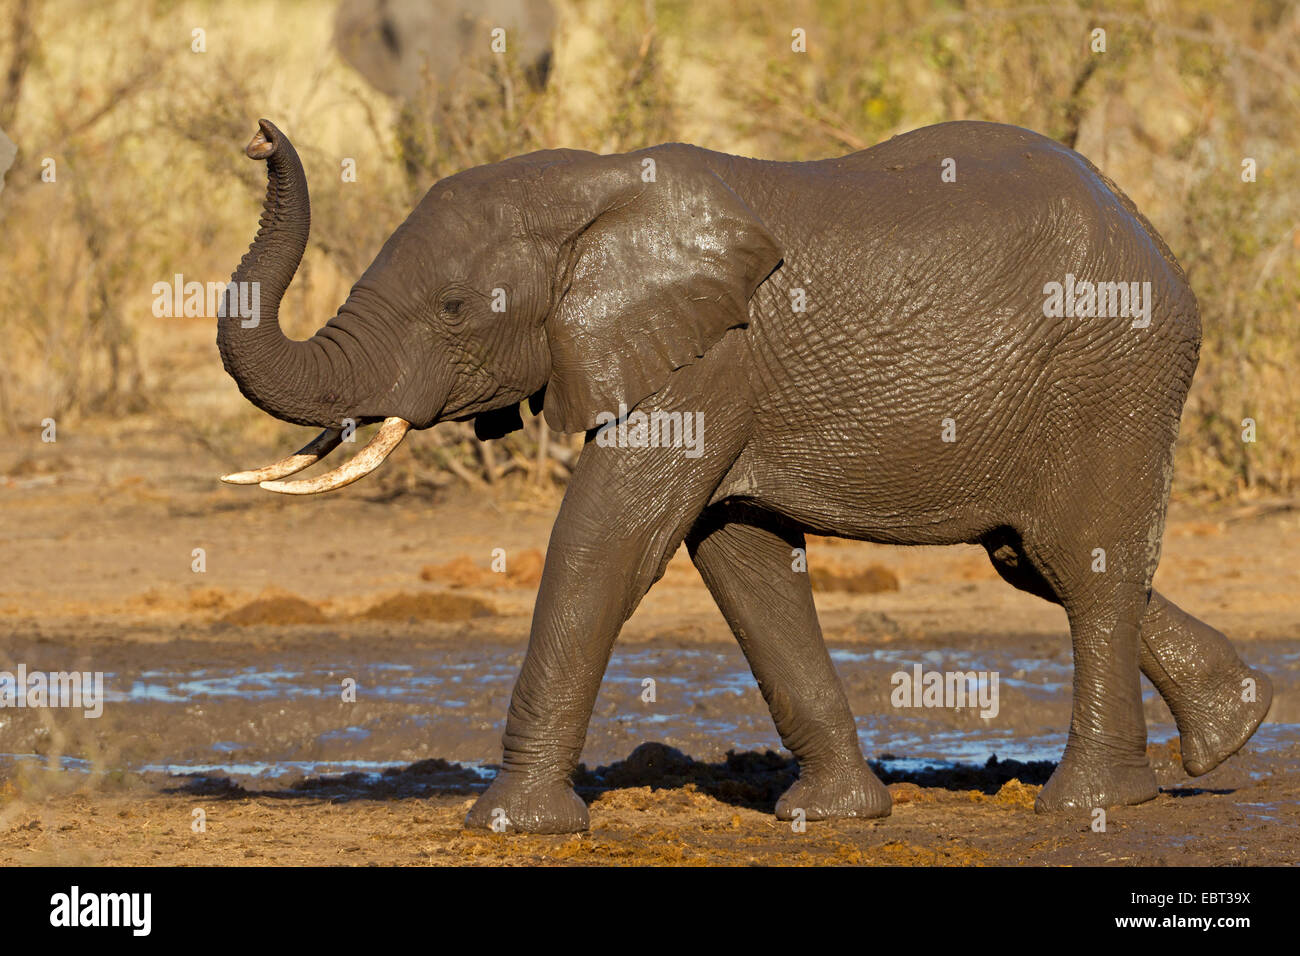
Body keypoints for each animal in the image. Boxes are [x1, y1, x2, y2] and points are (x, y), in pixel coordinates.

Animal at [213, 117, 1268, 832]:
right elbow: (742, 562)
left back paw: (1090, 805)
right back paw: (1234, 727)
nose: (259, 136)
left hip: (1112, 371)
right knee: (1035, 559)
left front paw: (513, 826)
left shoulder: (708, 358)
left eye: (455, 308)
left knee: (1083, 566)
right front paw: (832, 817)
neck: (590, 183)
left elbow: (608, 544)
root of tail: (1150, 237)